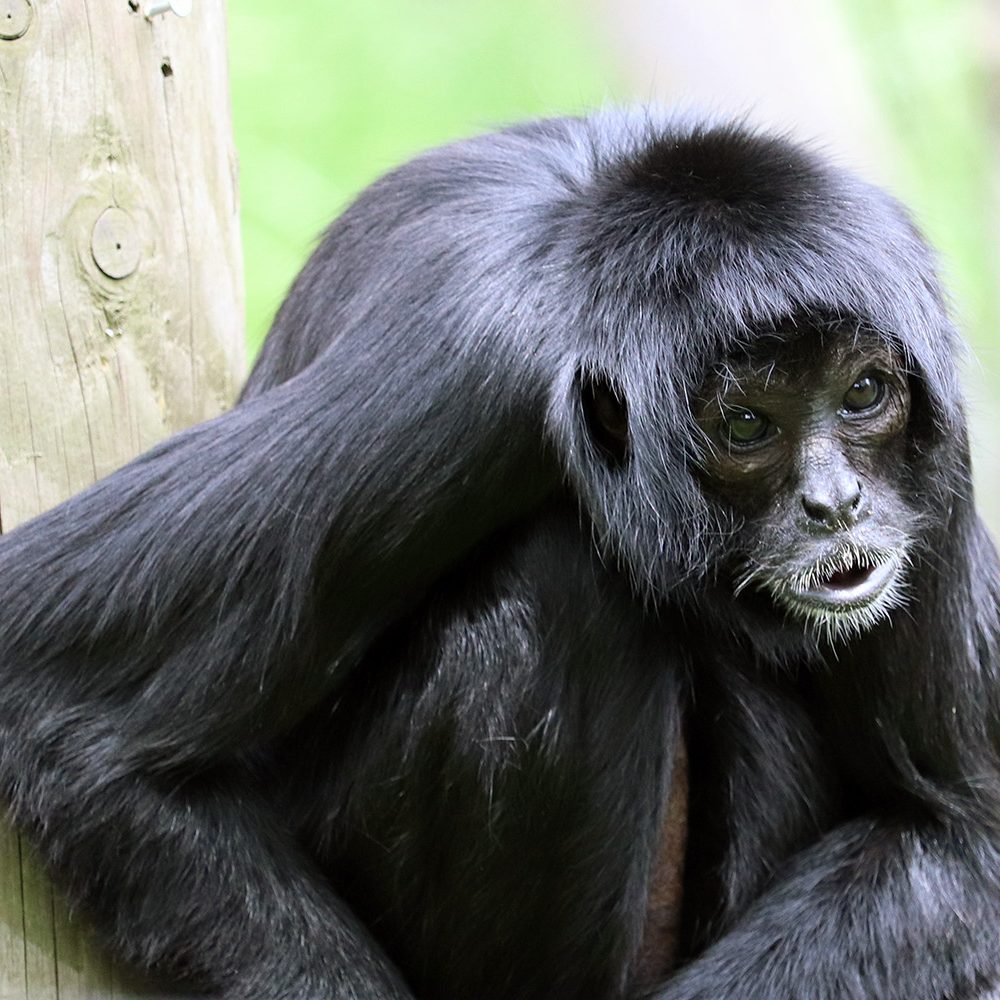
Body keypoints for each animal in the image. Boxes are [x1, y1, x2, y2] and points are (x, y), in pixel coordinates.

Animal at [1, 111, 1000, 1000]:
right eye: (748, 425)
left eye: (864, 393)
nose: (836, 504)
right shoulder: (468, 360)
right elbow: (60, 703)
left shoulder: (936, 431)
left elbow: (960, 826)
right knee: (563, 576)